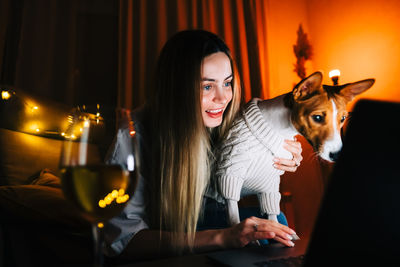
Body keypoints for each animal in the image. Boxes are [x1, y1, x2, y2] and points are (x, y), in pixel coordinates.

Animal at [214, 70, 374, 228]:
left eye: (343, 119)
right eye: (317, 118)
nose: (337, 155)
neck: (279, 129)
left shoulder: (269, 185)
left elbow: (273, 219)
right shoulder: (229, 175)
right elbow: (235, 220)